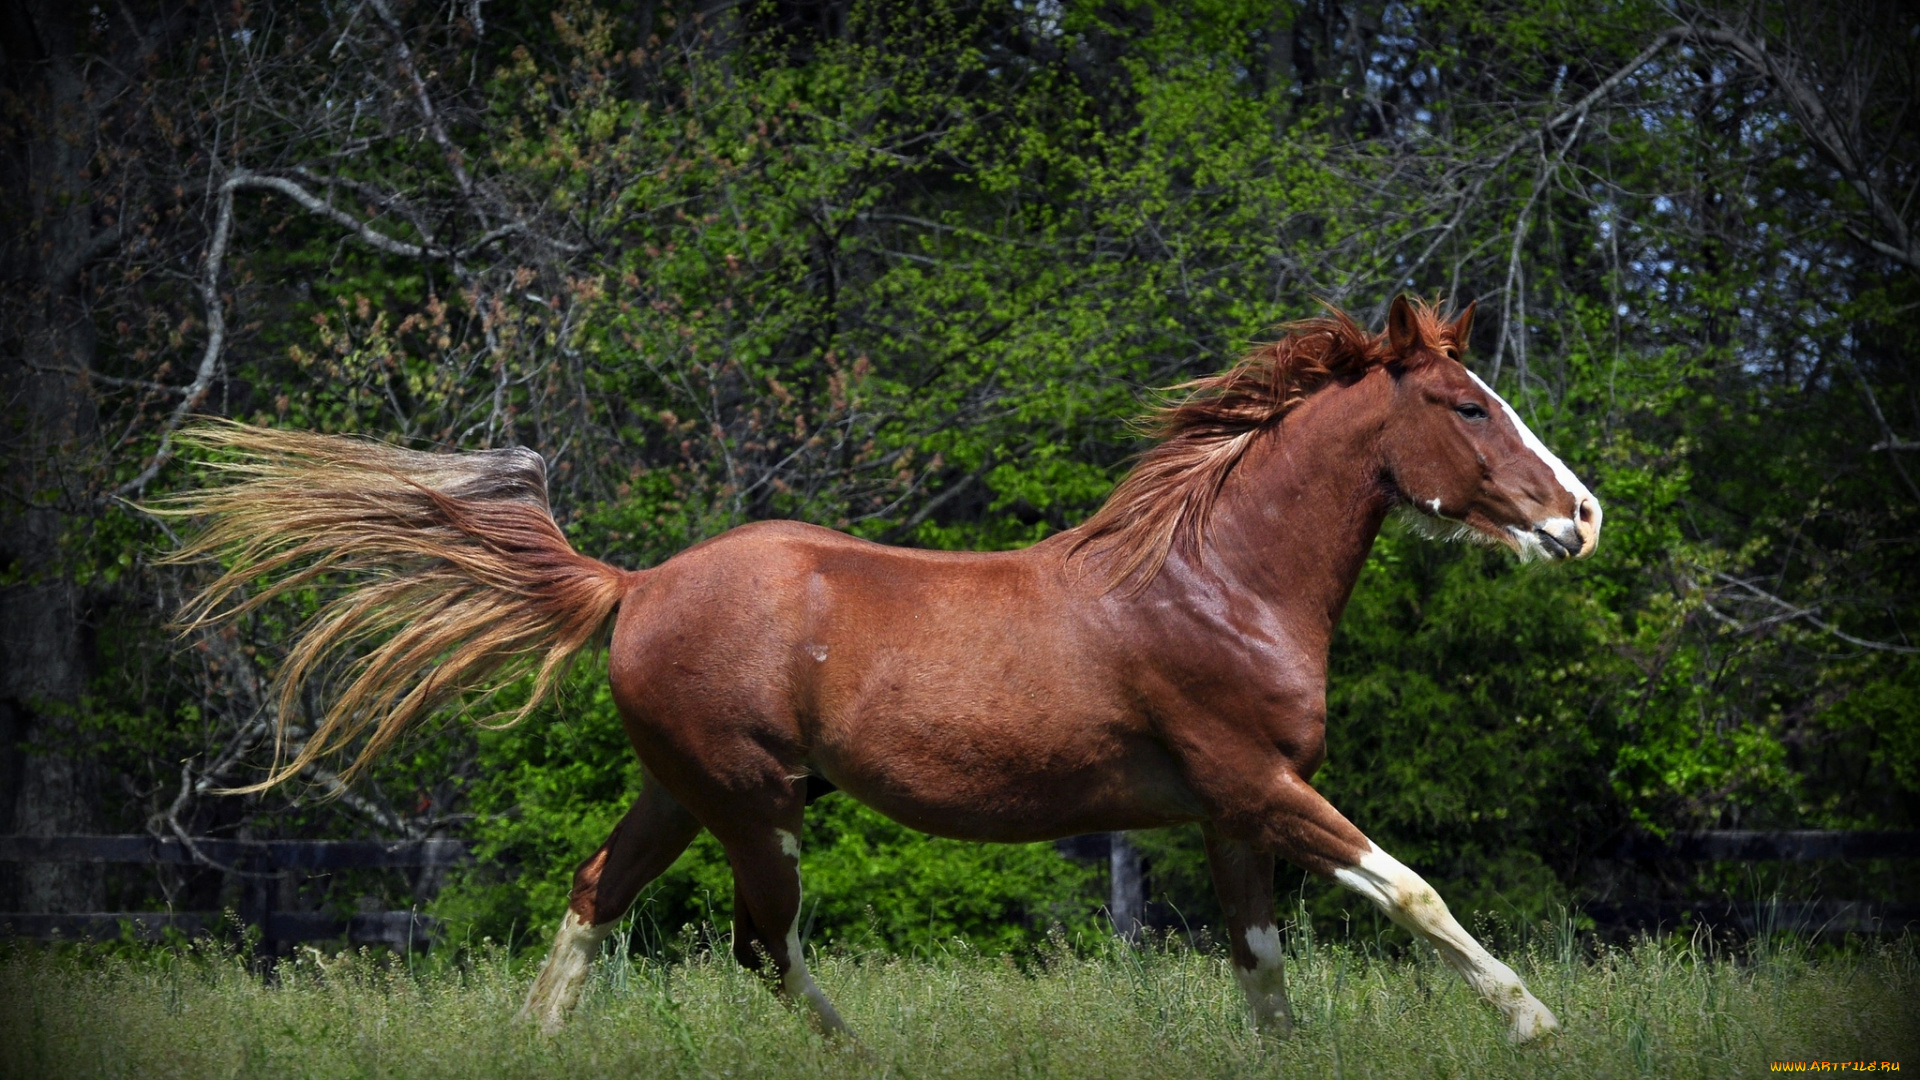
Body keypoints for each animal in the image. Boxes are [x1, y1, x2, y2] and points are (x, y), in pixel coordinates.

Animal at [165, 295, 1597, 1045]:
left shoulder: (1231, 813)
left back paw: (534, 1045)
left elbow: (1261, 969)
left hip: (681, 791)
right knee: (762, 944)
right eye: (1469, 406)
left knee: (595, 893)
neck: (1217, 581)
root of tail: (634, 586)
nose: (1582, 519)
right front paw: (1533, 1025)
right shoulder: (1258, 785)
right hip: (755, 805)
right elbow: (1410, 892)